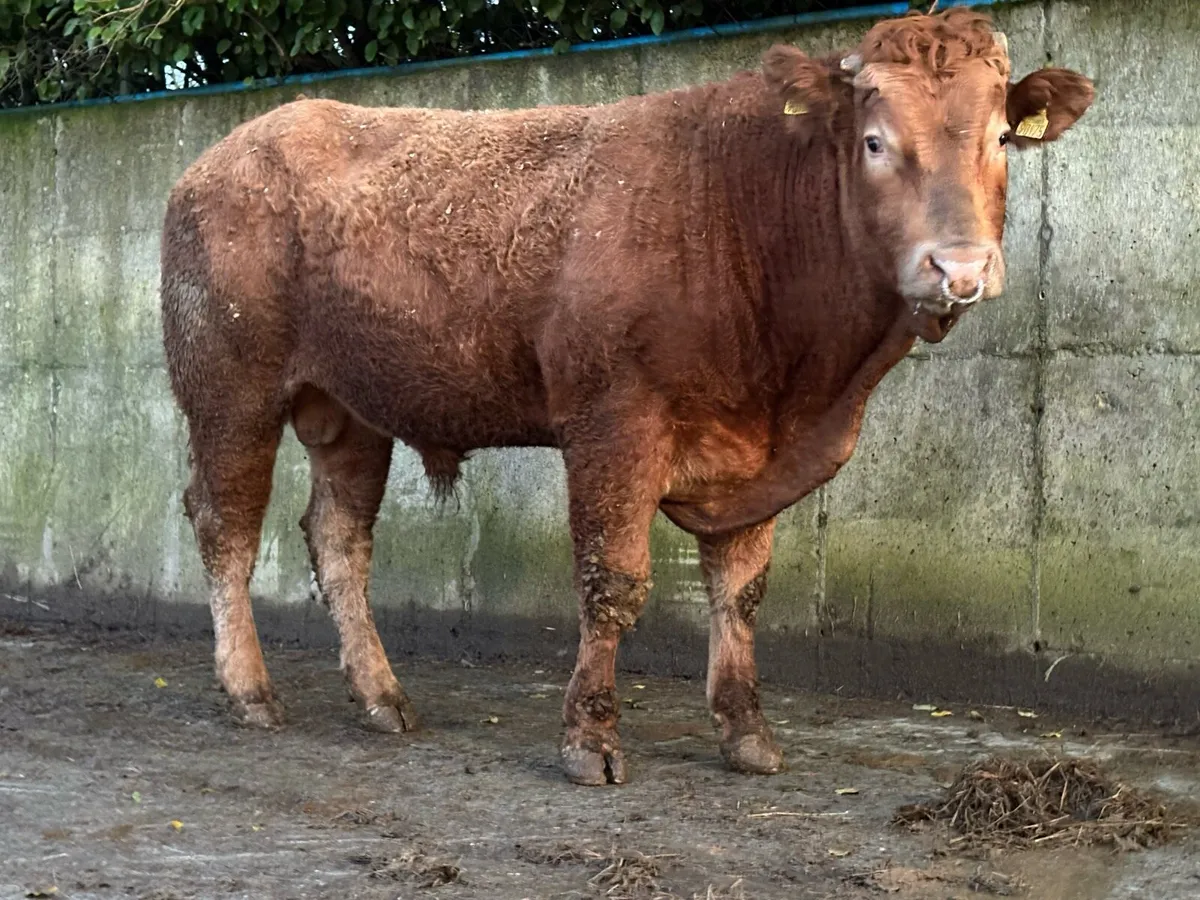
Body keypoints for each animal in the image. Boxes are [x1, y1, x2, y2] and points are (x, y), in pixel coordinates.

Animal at [160, 7, 1093, 785]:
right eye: (872, 140)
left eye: (1002, 136)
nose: (959, 268)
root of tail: (227, 149)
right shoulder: (613, 424)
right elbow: (614, 579)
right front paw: (591, 737)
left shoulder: (751, 453)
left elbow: (740, 590)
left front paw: (747, 731)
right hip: (230, 389)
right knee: (226, 525)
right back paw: (251, 692)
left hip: (352, 410)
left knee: (338, 539)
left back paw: (383, 697)